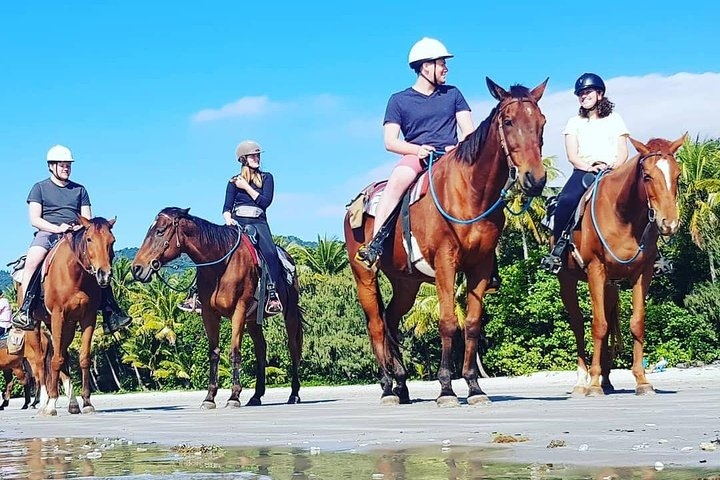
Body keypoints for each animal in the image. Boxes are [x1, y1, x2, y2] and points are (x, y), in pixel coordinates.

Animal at [22, 216, 116, 414]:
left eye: (112, 241)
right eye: (89, 239)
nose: (104, 274)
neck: (76, 274)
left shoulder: (88, 317)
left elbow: (84, 358)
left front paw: (87, 402)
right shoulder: (58, 314)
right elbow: (55, 360)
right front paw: (51, 404)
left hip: (66, 325)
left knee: (62, 354)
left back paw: (72, 403)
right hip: (35, 328)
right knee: (42, 364)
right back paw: (44, 402)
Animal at [129, 207, 304, 408]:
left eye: (160, 231)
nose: (137, 268)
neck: (221, 265)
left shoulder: (239, 310)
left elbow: (234, 351)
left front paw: (234, 396)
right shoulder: (209, 313)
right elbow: (213, 353)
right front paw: (209, 397)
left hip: (289, 314)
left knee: (293, 348)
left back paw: (294, 394)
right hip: (253, 320)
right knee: (261, 349)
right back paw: (256, 396)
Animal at [346, 79, 548, 404]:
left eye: (542, 122)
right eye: (508, 121)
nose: (536, 179)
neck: (469, 192)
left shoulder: (480, 266)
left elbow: (473, 325)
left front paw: (474, 386)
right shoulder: (445, 263)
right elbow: (448, 322)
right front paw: (446, 388)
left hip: (406, 282)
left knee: (390, 320)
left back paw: (401, 384)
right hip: (364, 275)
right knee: (376, 325)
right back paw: (388, 386)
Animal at [560, 134, 684, 394]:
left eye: (677, 175)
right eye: (647, 176)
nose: (669, 223)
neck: (623, 216)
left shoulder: (642, 273)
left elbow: (636, 323)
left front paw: (642, 380)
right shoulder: (595, 270)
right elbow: (598, 325)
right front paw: (593, 384)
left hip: (609, 286)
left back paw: (607, 381)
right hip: (567, 280)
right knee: (578, 324)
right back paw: (582, 381)